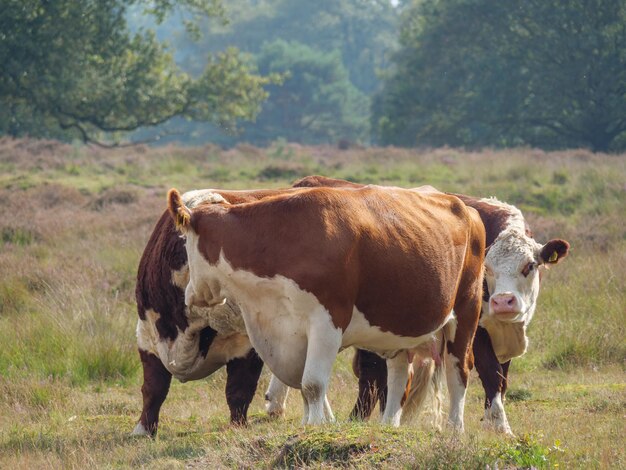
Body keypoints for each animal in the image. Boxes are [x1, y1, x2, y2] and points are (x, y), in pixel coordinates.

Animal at [167, 184, 482, 430]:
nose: (190, 295)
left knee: (458, 372)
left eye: (184, 243)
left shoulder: (327, 321)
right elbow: (304, 385)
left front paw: (315, 426)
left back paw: (455, 429)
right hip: (399, 330)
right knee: (399, 375)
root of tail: (464, 207)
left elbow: (312, 383)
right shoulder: (288, 329)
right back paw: (388, 425)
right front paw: (311, 422)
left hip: (466, 313)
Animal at [280, 175, 568, 434]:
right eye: (487, 270)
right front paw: (501, 427)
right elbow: (490, 372)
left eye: (530, 266)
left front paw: (493, 421)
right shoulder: (475, 332)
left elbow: (501, 380)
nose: (503, 302)